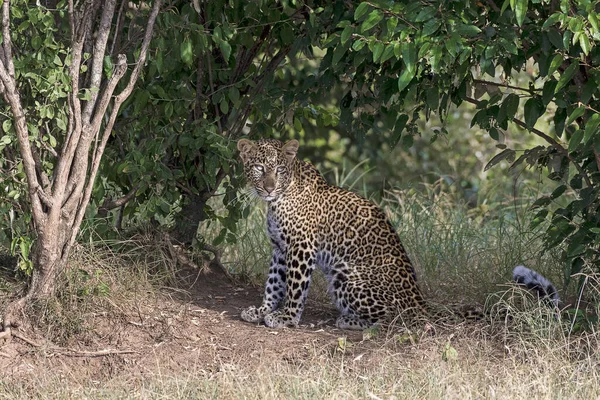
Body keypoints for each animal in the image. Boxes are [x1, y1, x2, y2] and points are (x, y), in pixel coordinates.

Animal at [236, 139, 556, 330]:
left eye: (279, 169)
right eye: (259, 167)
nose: (268, 187)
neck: (277, 200)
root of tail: (420, 302)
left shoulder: (301, 247)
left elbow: (294, 288)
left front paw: (286, 318)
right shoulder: (280, 248)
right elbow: (274, 283)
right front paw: (262, 310)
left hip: (346, 276)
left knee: (394, 319)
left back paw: (350, 321)